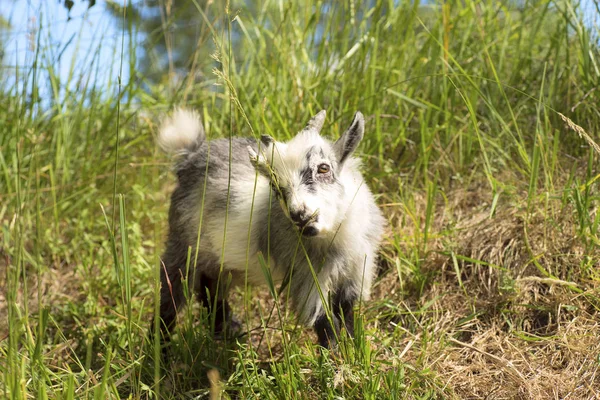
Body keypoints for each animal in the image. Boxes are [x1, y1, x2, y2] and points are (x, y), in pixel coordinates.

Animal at [156, 108, 384, 346]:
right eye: (275, 186)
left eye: (324, 168)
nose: (300, 216)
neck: (333, 237)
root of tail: (190, 156)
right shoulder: (307, 275)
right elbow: (325, 323)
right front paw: (334, 354)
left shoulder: (357, 270)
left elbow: (346, 313)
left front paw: (354, 347)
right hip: (182, 246)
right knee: (170, 296)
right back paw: (161, 347)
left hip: (217, 258)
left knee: (210, 286)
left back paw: (226, 329)